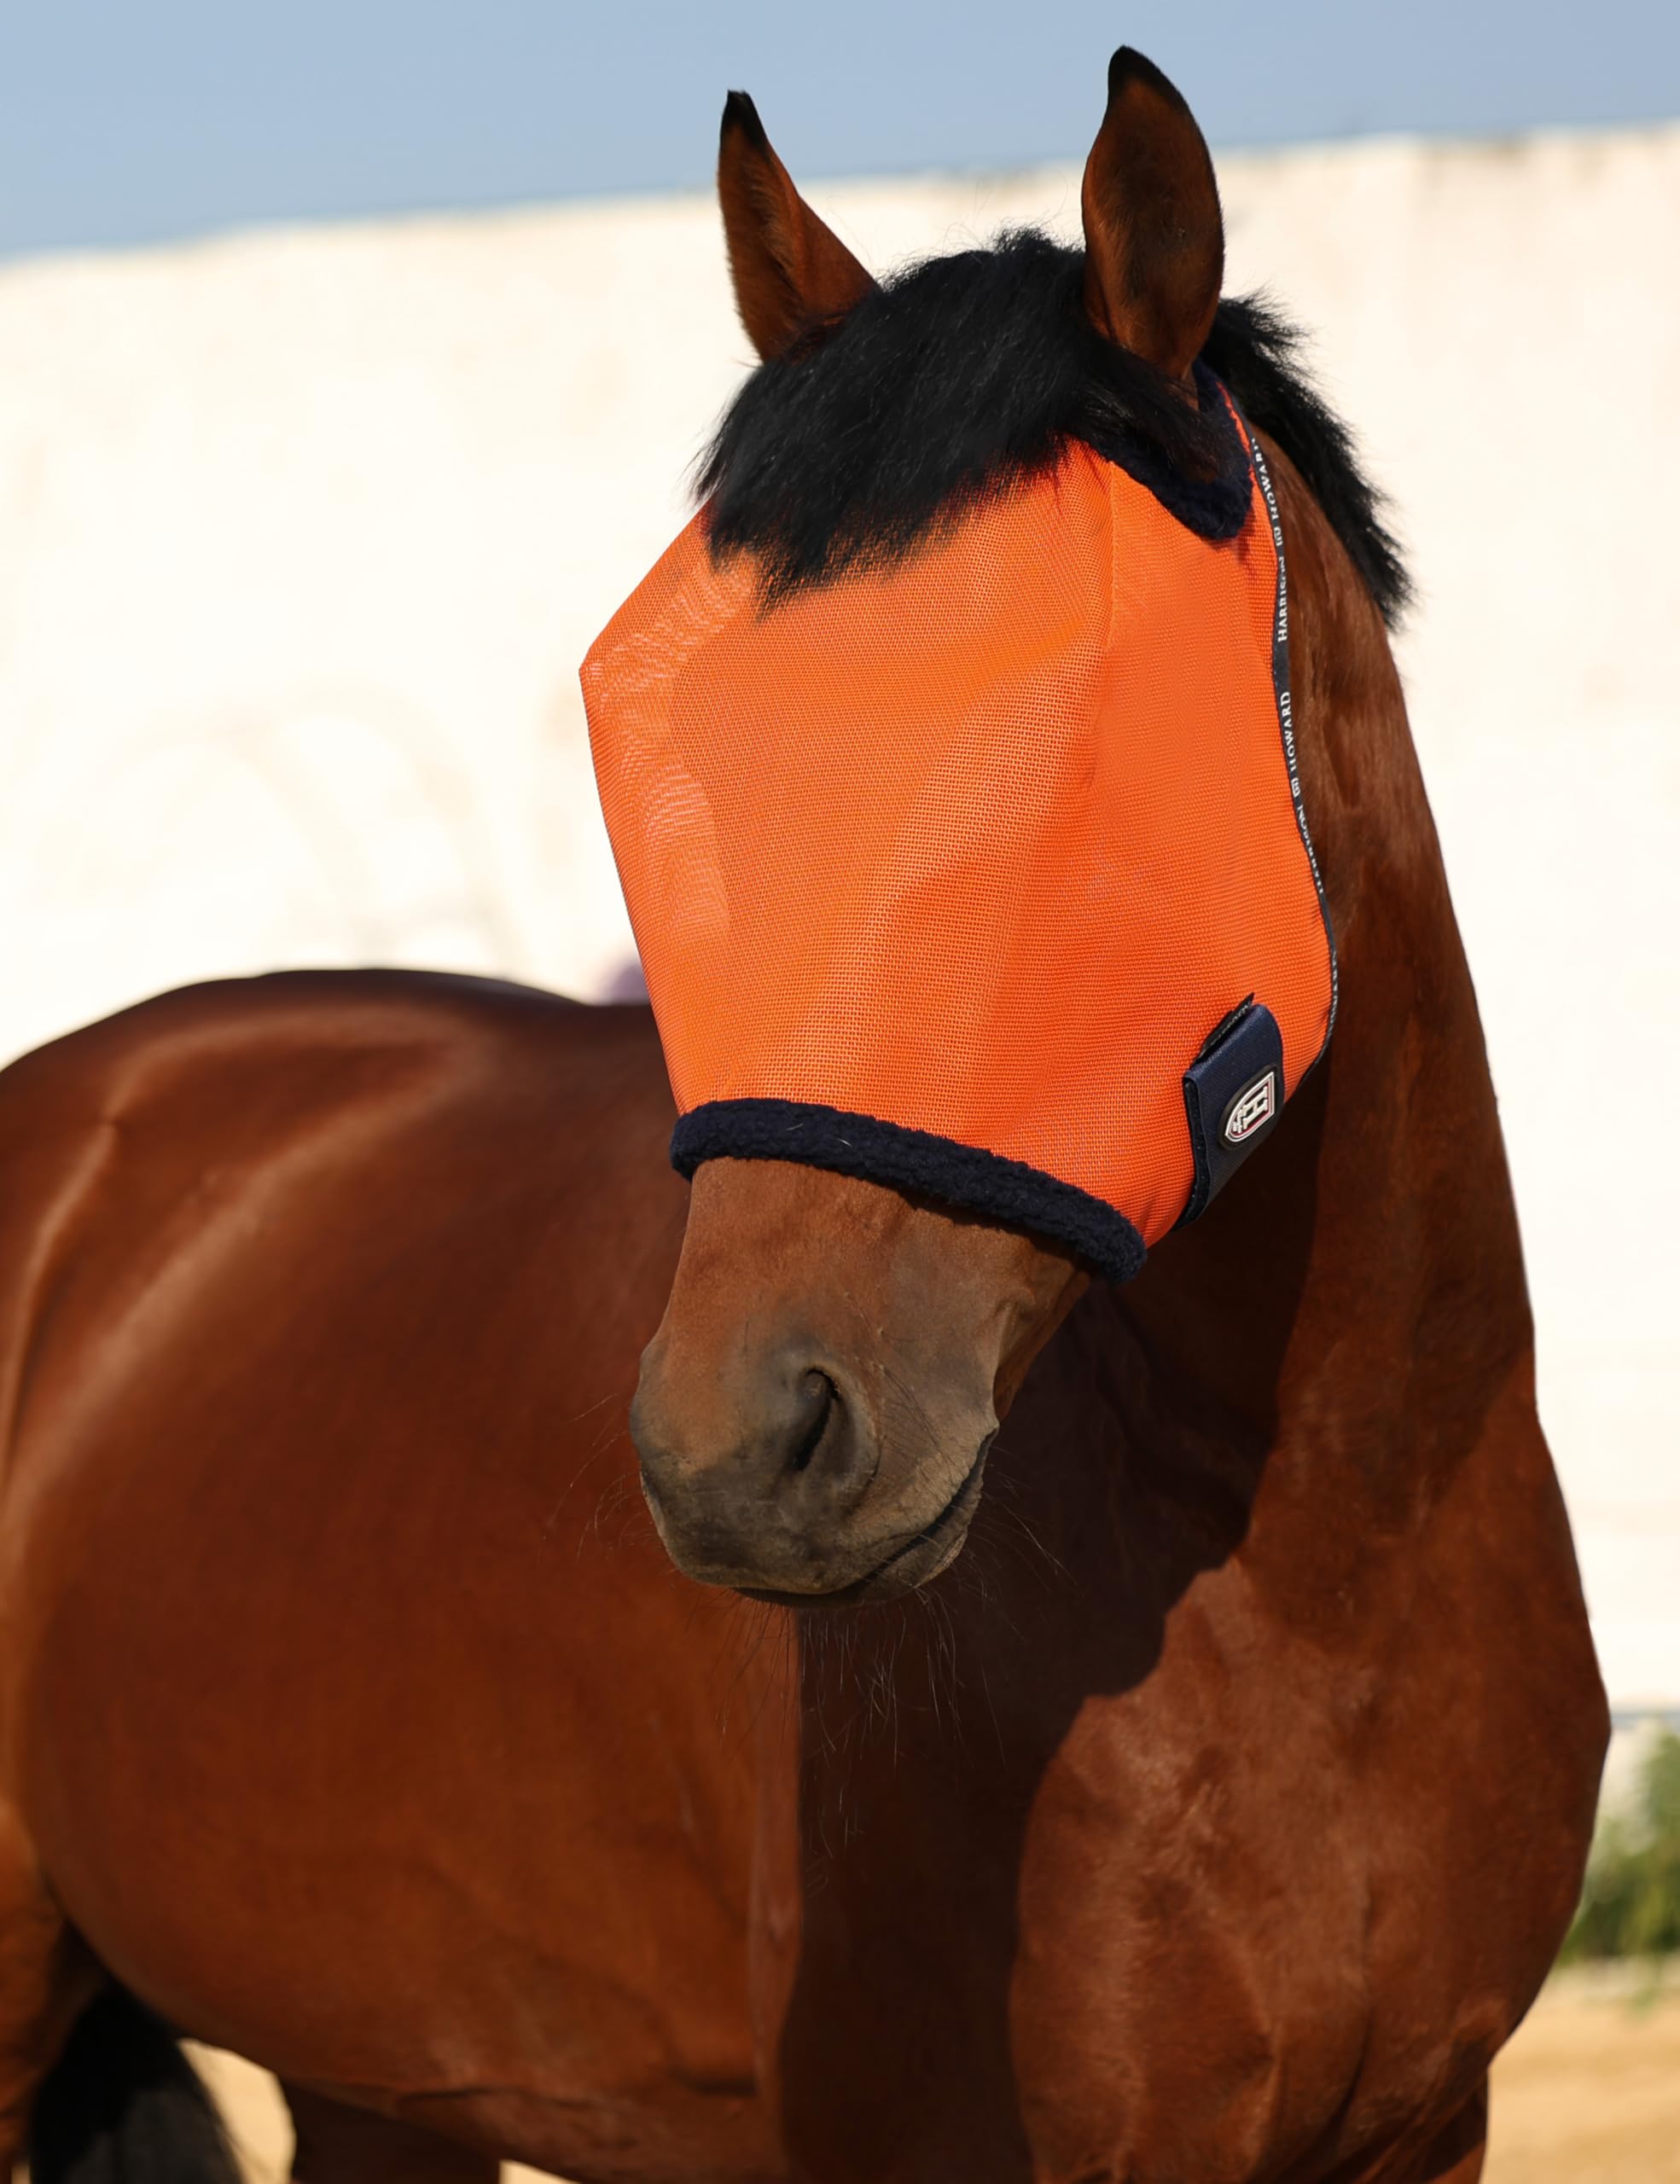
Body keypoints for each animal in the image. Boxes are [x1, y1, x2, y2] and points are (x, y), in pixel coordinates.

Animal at [0, 48, 1605, 2184]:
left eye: (1084, 747)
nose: (736, 1449)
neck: (1335, 1566)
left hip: (378, 2076)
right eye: (678, 749)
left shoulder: (1422, 2132)